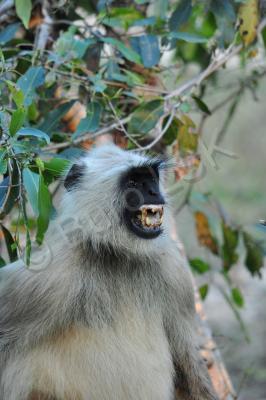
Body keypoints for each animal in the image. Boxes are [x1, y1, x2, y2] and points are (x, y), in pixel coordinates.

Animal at [0, 145, 217, 400]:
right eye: (133, 181)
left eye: (151, 179)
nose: (154, 192)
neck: (119, 255)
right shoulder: (45, 276)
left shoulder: (174, 270)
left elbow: (188, 362)